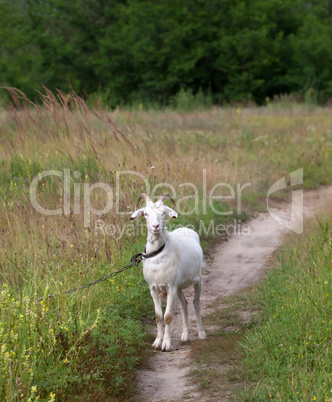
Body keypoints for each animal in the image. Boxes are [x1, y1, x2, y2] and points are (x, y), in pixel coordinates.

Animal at [130, 193, 205, 350]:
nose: (156, 226)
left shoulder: (171, 287)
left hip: (198, 280)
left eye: (164, 212)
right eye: (145, 213)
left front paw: (166, 344)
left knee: (196, 303)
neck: (158, 255)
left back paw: (202, 334)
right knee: (184, 305)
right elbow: (158, 316)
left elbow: (168, 316)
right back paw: (185, 335)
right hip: (179, 287)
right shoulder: (153, 288)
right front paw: (157, 342)